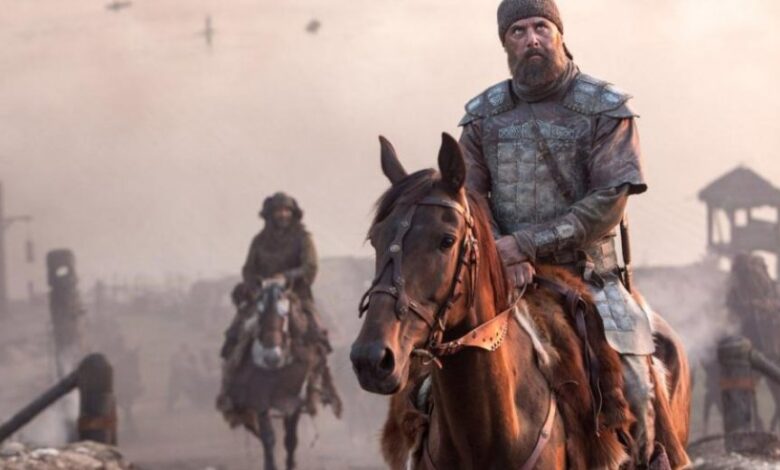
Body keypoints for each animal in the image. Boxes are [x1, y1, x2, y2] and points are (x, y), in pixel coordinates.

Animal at [220, 278, 319, 470]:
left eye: (285, 314)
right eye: (260, 314)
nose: (271, 357)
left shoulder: (293, 405)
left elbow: (290, 441)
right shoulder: (260, 403)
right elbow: (268, 438)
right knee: (256, 430)